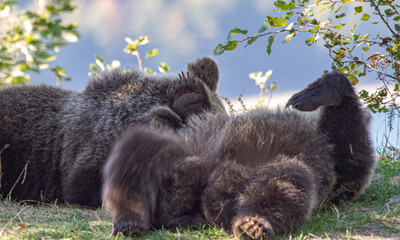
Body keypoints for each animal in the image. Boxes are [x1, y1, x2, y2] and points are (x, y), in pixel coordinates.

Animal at [102, 71, 376, 238]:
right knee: (137, 148)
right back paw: (130, 220)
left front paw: (313, 94)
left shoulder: (333, 163)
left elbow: (351, 153)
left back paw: (253, 223)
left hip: (264, 172)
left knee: (287, 181)